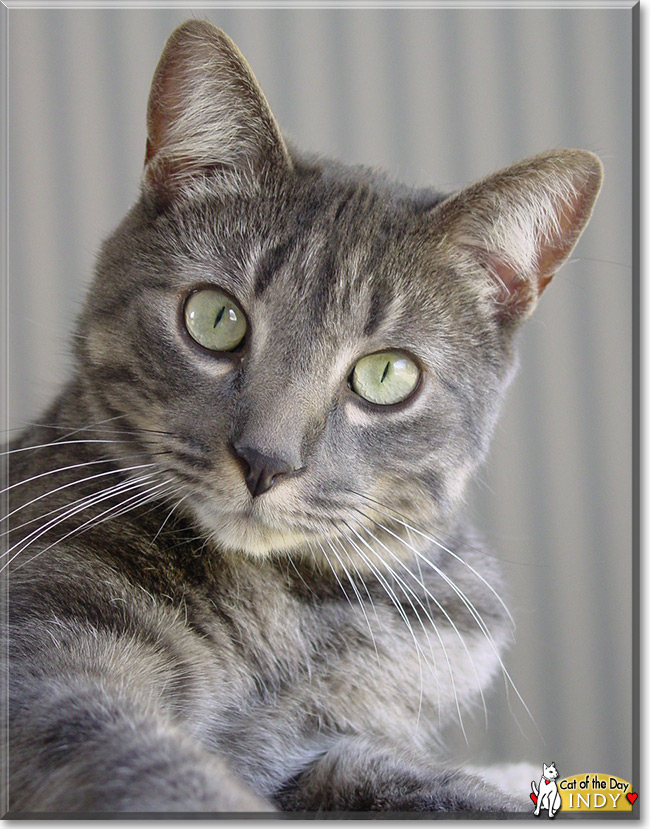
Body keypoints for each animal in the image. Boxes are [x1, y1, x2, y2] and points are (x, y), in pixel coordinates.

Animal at [2, 19, 600, 816]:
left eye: (387, 375)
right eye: (214, 318)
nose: (265, 462)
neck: (293, 611)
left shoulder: (332, 747)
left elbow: (441, 787)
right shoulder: (45, 669)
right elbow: (154, 769)